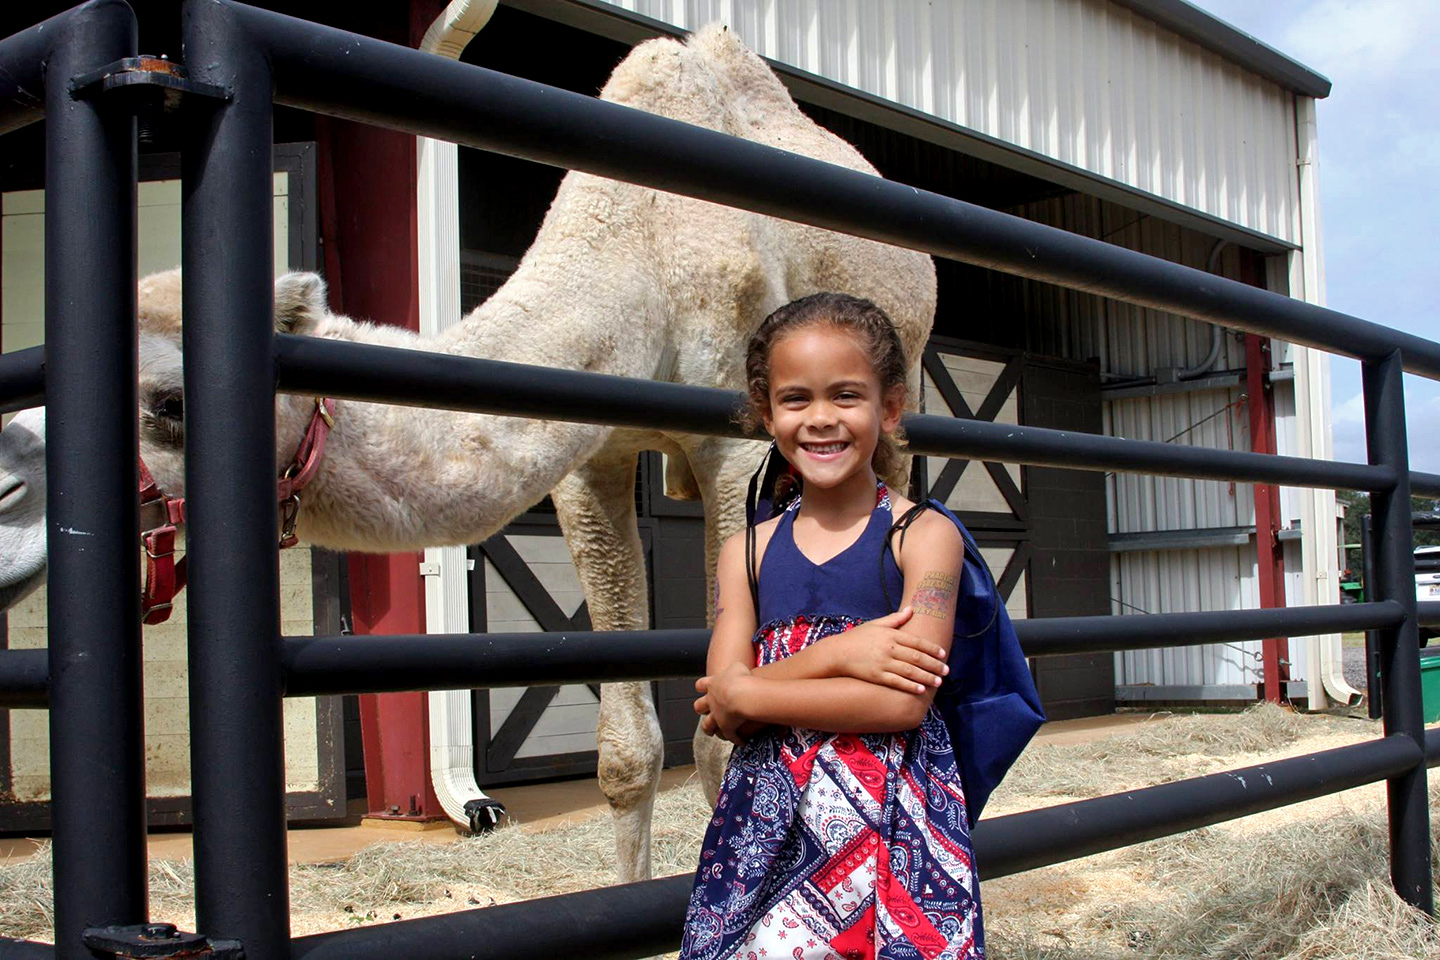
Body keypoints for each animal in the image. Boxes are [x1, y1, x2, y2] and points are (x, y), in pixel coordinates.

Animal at [0, 24, 933, 880]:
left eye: (170, 403)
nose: (8, 498)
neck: (635, 242)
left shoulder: (736, 447)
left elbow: (718, 744)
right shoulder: (590, 461)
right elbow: (627, 754)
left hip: (897, 394)